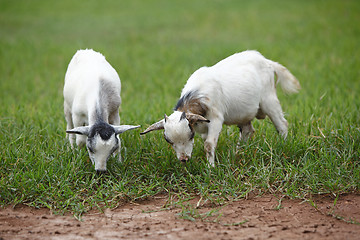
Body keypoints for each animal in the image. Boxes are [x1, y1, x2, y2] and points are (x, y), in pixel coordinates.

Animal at [141, 50, 300, 167]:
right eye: (169, 141)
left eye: (190, 136)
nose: (184, 159)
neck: (199, 95)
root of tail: (268, 62)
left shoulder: (216, 118)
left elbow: (208, 144)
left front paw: (210, 168)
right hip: (243, 113)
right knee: (248, 130)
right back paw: (237, 153)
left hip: (269, 100)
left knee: (282, 124)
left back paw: (283, 145)